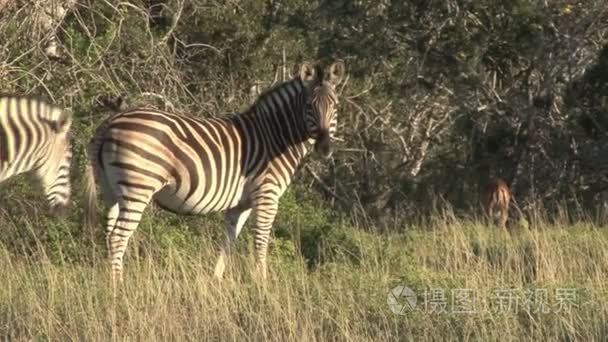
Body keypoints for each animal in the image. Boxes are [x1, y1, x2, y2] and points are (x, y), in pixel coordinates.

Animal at [83, 60, 344, 284]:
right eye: (309, 106)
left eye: (335, 106)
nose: (325, 148)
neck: (276, 138)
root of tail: (112, 120)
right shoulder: (267, 195)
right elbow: (261, 240)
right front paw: (263, 284)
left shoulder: (241, 204)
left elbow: (228, 241)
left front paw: (216, 281)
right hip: (138, 186)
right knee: (118, 237)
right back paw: (119, 288)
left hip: (112, 190)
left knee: (109, 233)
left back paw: (108, 282)